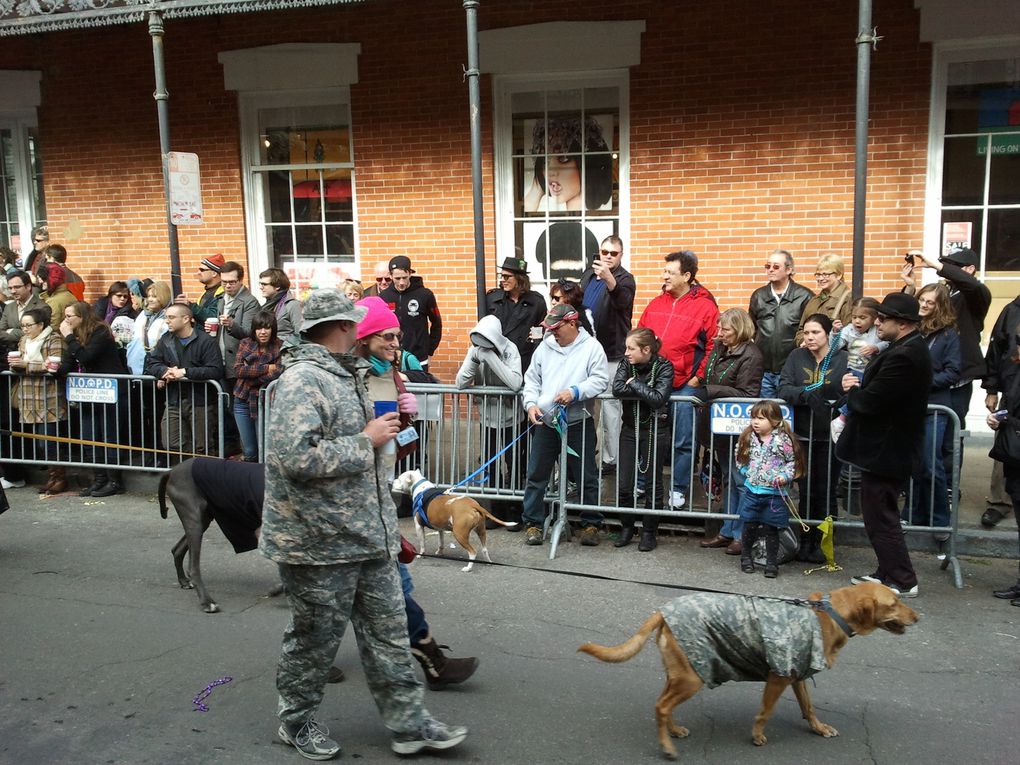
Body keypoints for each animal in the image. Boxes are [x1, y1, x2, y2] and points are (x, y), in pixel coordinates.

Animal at [157, 459, 265, 616]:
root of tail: (172, 471)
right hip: (194, 518)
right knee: (193, 568)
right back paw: (207, 602)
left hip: (203, 520)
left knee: (177, 550)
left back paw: (184, 581)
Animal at [389, 471, 518, 571]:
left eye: (399, 479)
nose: (391, 482)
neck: (420, 488)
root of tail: (473, 505)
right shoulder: (439, 528)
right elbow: (441, 541)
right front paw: (440, 552)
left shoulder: (418, 526)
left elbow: (422, 544)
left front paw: (421, 555)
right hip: (481, 531)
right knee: (484, 549)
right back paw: (488, 562)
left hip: (460, 534)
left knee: (473, 552)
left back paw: (468, 568)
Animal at [579, 587, 922, 762]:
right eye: (895, 602)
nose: (919, 617)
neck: (829, 612)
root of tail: (663, 611)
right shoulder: (778, 676)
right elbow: (765, 711)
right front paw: (757, 736)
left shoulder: (796, 675)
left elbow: (809, 708)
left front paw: (819, 728)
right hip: (691, 679)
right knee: (662, 706)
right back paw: (667, 747)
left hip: (680, 674)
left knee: (661, 705)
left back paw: (673, 732)